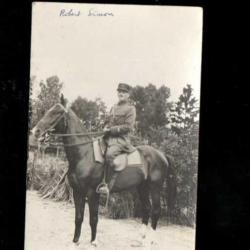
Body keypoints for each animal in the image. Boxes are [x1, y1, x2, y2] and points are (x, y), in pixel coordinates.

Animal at [32, 99, 170, 246]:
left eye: (56, 113)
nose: (35, 131)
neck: (84, 154)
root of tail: (161, 155)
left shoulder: (93, 193)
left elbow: (93, 219)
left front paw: (94, 241)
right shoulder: (77, 192)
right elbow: (78, 217)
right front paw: (75, 240)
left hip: (155, 188)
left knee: (156, 210)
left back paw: (150, 241)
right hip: (142, 187)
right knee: (146, 208)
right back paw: (140, 239)